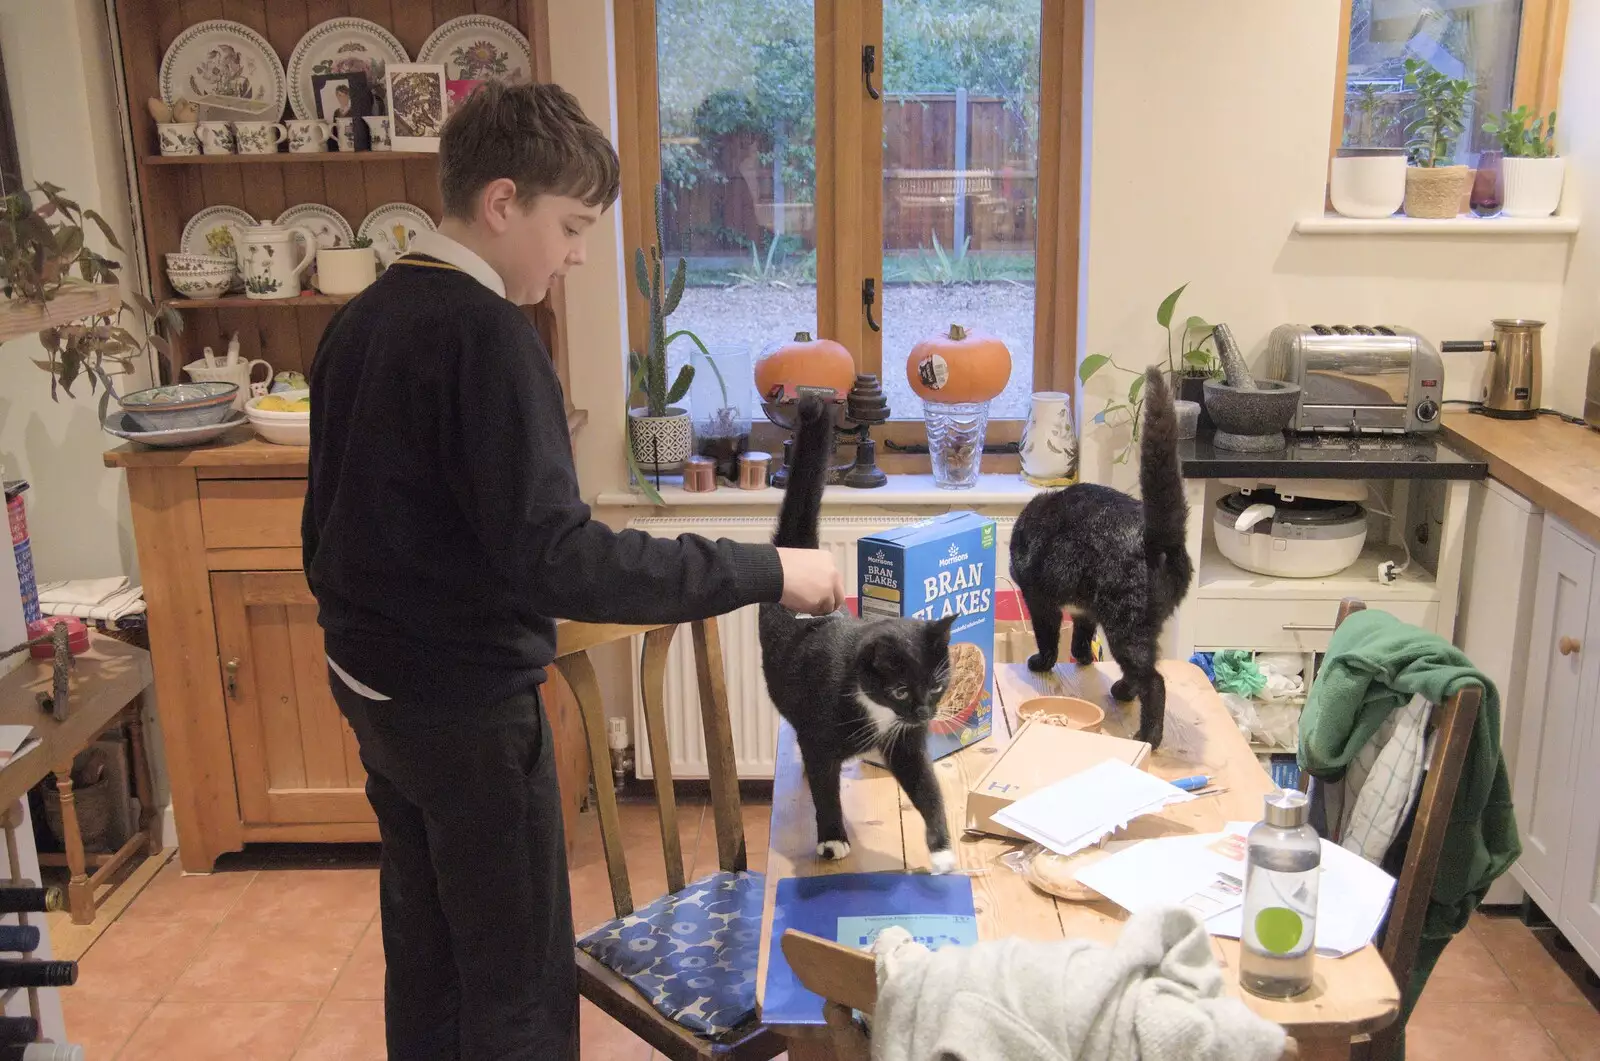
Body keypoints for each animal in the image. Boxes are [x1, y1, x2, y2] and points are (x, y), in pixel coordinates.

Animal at [755, 393, 953, 870]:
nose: (925, 712)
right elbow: (825, 787)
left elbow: (927, 787)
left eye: (937, 685)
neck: (877, 712)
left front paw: (941, 850)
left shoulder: (906, 743)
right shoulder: (820, 739)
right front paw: (832, 839)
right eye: (900, 689)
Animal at [1011, 369, 1190, 752]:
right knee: (1144, 671)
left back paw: (1148, 735)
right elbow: (1081, 633)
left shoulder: (1039, 600)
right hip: (1142, 624)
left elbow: (1047, 637)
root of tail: (1155, 539)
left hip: (1125, 626)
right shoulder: (1085, 609)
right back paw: (1122, 691)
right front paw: (1082, 656)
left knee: (1154, 681)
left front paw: (1042, 662)